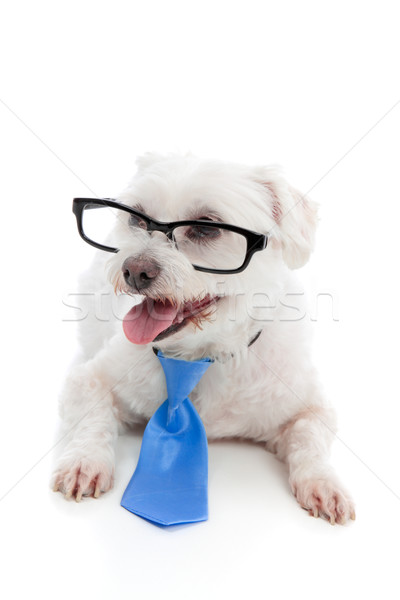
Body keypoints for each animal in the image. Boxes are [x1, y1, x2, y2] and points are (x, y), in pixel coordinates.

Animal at [51, 151, 354, 524]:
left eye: (207, 227)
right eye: (136, 218)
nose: (134, 270)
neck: (201, 356)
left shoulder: (311, 406)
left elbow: (310, 437)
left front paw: (324, 482)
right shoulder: (88, 379)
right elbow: (91, 420)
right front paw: (84, 460)